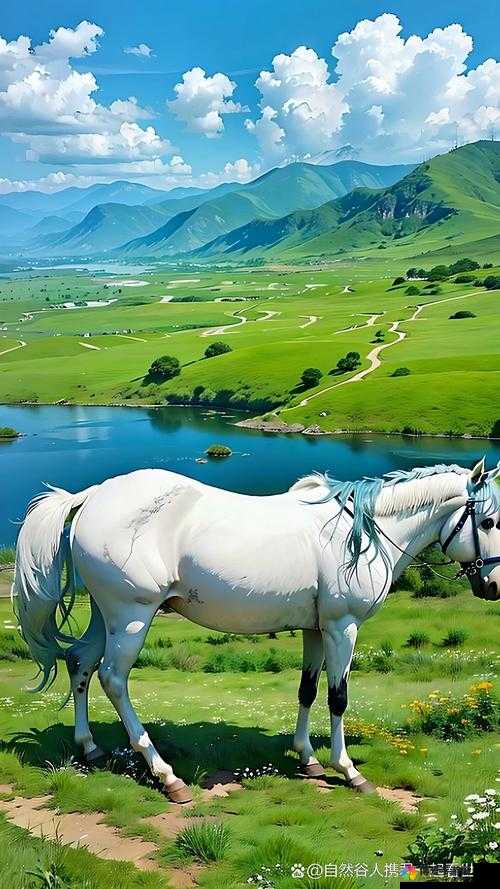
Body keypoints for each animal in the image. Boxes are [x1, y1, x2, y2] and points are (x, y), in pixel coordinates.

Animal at [12, 458, 500, 804]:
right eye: (489, 522)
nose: (493, 585)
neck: (361, 533)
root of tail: (92, 496)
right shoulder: (343, 627)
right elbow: (338, 697)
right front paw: (348, 769)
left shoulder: (316, 629)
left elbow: (307, 689)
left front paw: (308, 759)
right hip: (132, 615)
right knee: (113, 678)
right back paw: (166, 776)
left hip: (106, 616)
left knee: (80, 663)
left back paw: (89, 747)